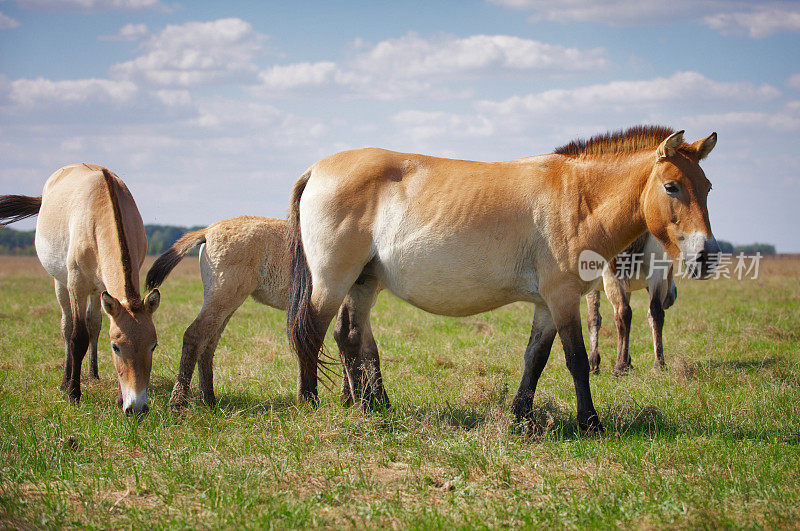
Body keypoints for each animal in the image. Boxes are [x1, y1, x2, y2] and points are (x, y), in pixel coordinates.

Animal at [0, 164, 161, 414]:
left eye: (153, 346)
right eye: (115, 347)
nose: (136, 407)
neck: (99, 217)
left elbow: (97, 328)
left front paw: (118, 397)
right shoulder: (77, 285)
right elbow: (77, 337)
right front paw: (73, 394)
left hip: (97, 292)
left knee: (94, 324)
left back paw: (93, 375)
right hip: (61, 283)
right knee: (67, 327)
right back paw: (65, 381)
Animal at [147, 218, 390, 410]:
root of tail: (207, 231)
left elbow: (369, 350)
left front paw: (372, 400)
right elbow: (351, 345)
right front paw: (359, 399)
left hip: (225, 304)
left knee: (208, 344)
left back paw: (208, 400)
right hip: (224, 297)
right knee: (195, 336)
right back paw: (178, 402)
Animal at [584, 233, 680, 378]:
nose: (672, 295)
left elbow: (593, 319)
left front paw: (593, 364)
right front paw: (628, 362)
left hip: (612, 271)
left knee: (622, 312)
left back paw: (620, 367)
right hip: (657, 266)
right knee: (655, 312)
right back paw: (658, 365)